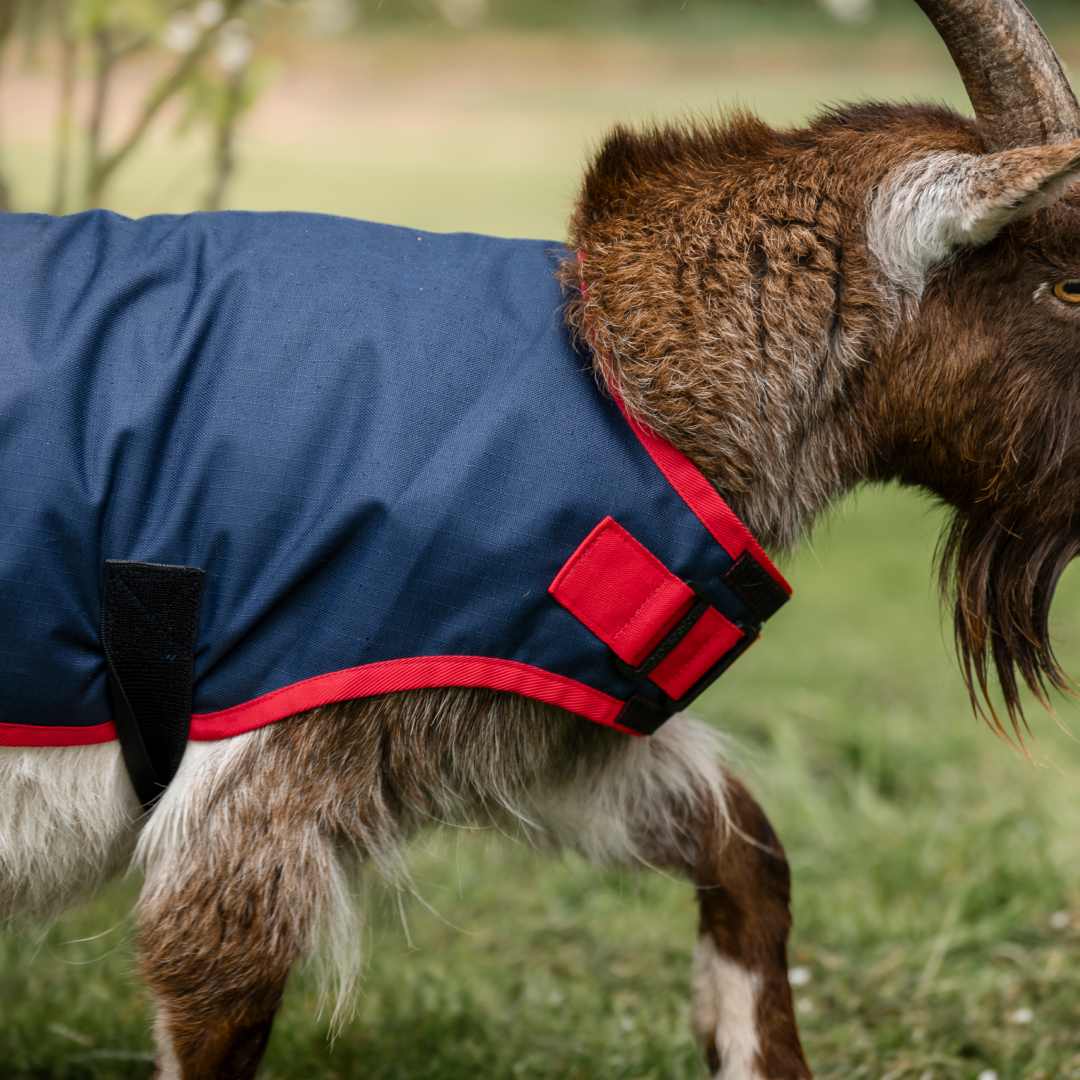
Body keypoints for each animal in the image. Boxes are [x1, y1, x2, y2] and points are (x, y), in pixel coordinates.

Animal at [4, 0, 1080, 1076]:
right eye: (1068, 286)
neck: (619, 373)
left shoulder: (526, 717)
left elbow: (744, 843)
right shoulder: (272, 755)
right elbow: (215, 977)